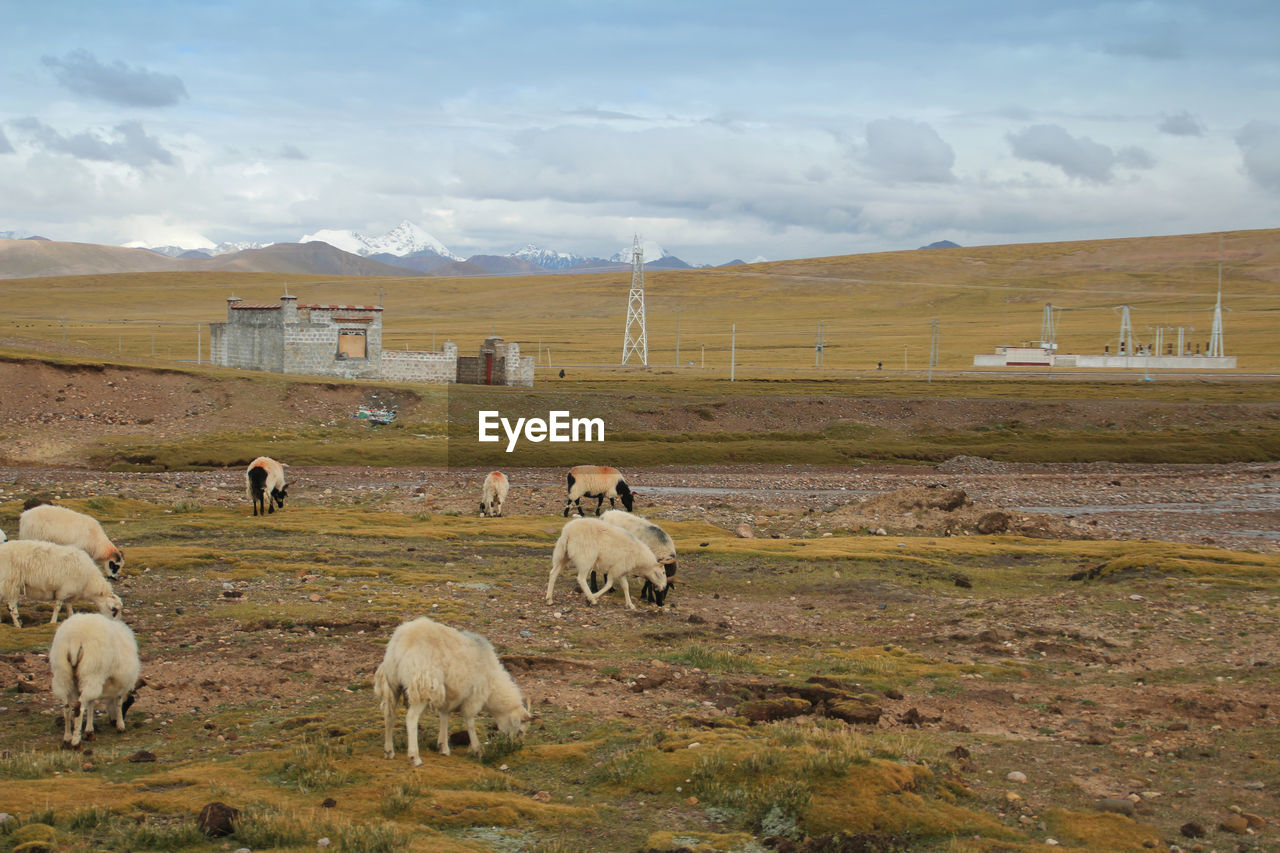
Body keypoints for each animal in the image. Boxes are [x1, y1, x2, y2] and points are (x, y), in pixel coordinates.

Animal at [48, 612, 142, 742]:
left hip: (63, 673)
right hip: (91, 672)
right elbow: (118, 702)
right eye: (129, 702)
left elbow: (91, 704)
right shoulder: (121, 679)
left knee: (67, 707)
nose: (112, 722)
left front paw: (89, 730)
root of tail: (75, 639)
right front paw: (120, 725)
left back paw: (67, 737)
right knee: (79, 707)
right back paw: (75, 741)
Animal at [373, 612, 529, 763]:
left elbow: (444, 716)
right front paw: (477, 749)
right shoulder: (474, 696)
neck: (493, 687)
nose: (515, 748)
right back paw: (414, 757)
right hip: (424, 685)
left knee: (389, 714)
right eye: (520, 731)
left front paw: (443, 747)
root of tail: (402, 641)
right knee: (411, 718)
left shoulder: (449, 695)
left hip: (392, 683)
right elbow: (470, 721)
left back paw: (389, 751)